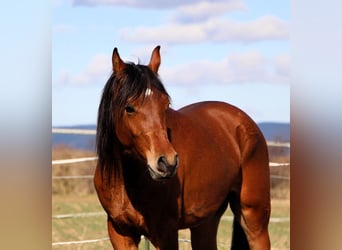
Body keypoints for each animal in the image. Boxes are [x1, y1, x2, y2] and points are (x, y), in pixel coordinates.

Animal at [93, 46, 270, 249]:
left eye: (165, 104)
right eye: (129, 108)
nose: (167, 162)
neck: (127, 180)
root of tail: (243, 121)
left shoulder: (166, 233)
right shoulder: (120, 233)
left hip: (254, 217)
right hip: (205, 222)